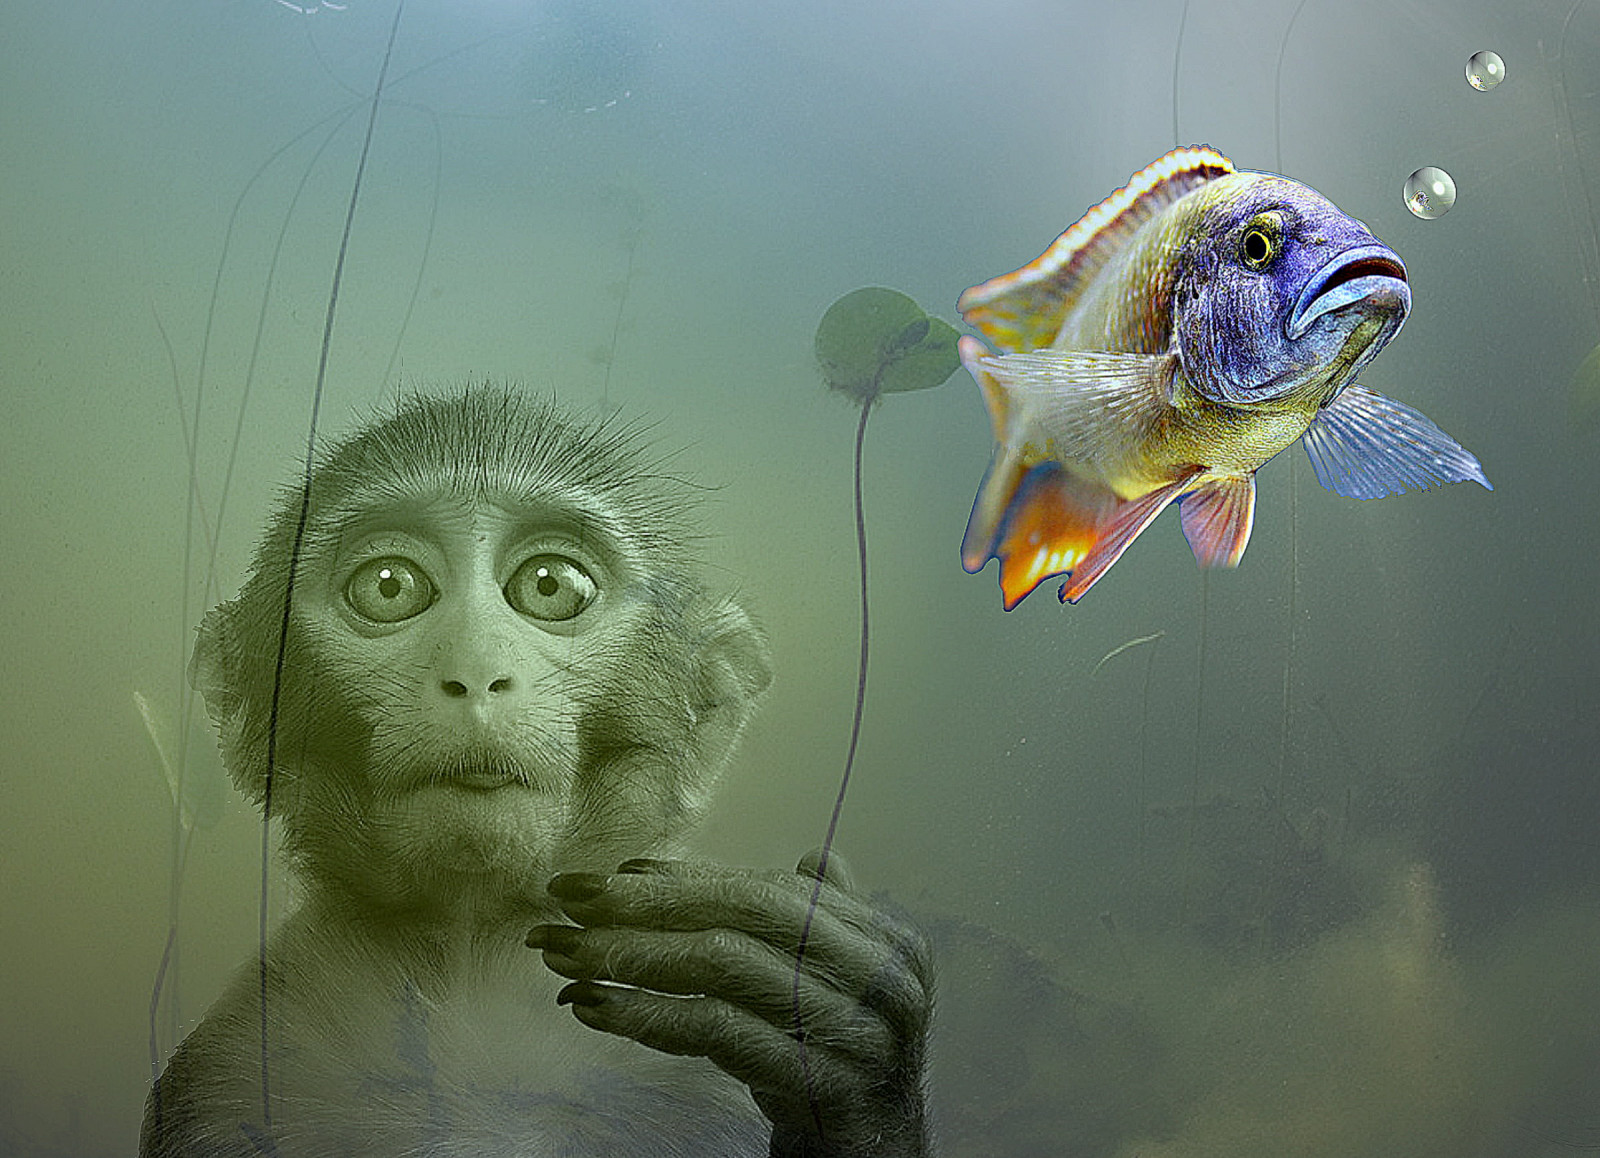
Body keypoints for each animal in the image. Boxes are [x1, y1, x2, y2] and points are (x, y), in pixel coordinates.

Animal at [140, 385, 933, 1158]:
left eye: (549, 585)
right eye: (389, 585)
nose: (475, 673)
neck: (468, 972)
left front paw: (842, 1042)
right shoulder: (221, 1078)